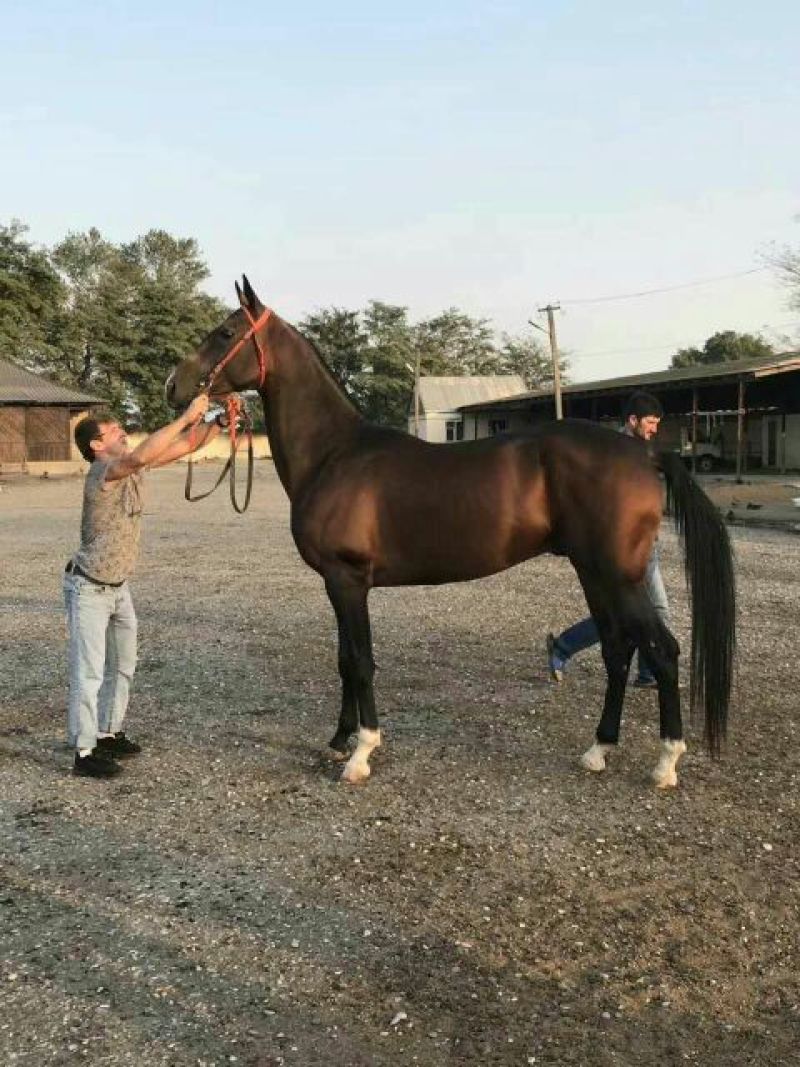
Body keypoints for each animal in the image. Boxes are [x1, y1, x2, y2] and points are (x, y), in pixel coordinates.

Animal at [167, 276, 735, 789]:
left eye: (224, 332)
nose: (175, 386)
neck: (335, 453)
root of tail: (645, 453)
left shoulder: (347, 580)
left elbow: (361, 661)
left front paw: (361, 752)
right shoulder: (337, 583)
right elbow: (345, 660)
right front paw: (339, 740)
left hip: (619, 575)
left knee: (661, 650)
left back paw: (665, 763)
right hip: (593, 572)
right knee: (618, 649)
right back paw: (598, 749)